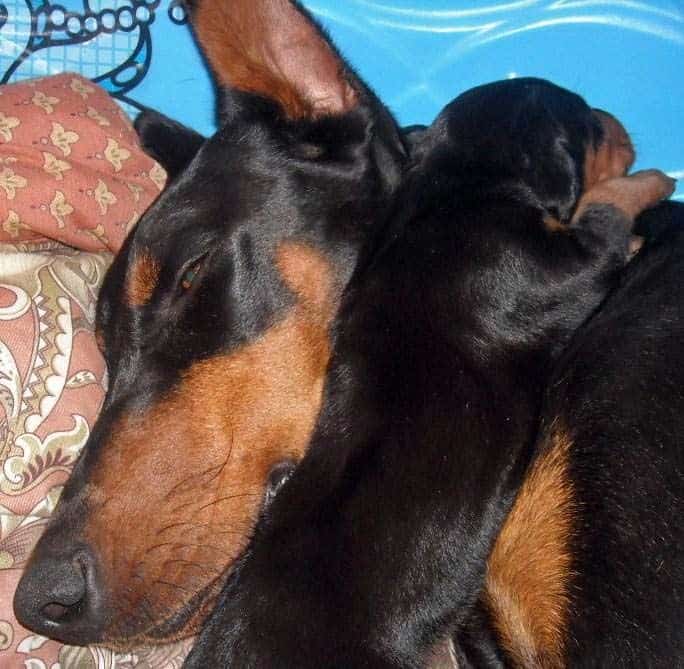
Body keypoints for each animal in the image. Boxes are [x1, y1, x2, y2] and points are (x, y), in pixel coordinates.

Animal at [184, 79, 676, 668]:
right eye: (587, 122)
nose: (618, 123)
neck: (458, 189)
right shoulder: (568, 261)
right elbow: (608, 209)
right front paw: (650, 185)